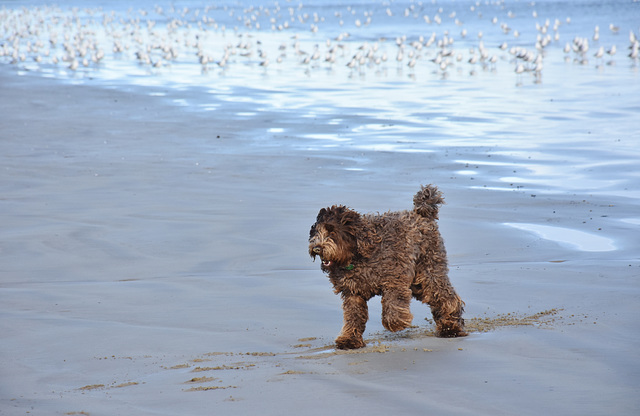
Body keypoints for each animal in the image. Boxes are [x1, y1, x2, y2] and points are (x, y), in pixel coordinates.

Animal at [308, 185, 464, 348]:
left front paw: (396, 322)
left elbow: (392, 303)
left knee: (445, 297)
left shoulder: (394, 280)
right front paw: (349, 339)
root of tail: (421, 214)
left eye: (332, 232)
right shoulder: (353, 292)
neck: (357, 256)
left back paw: (450, 328)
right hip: (418, 284)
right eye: (316, 232)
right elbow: (353, 316)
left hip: (429, 270)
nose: (317, 248)